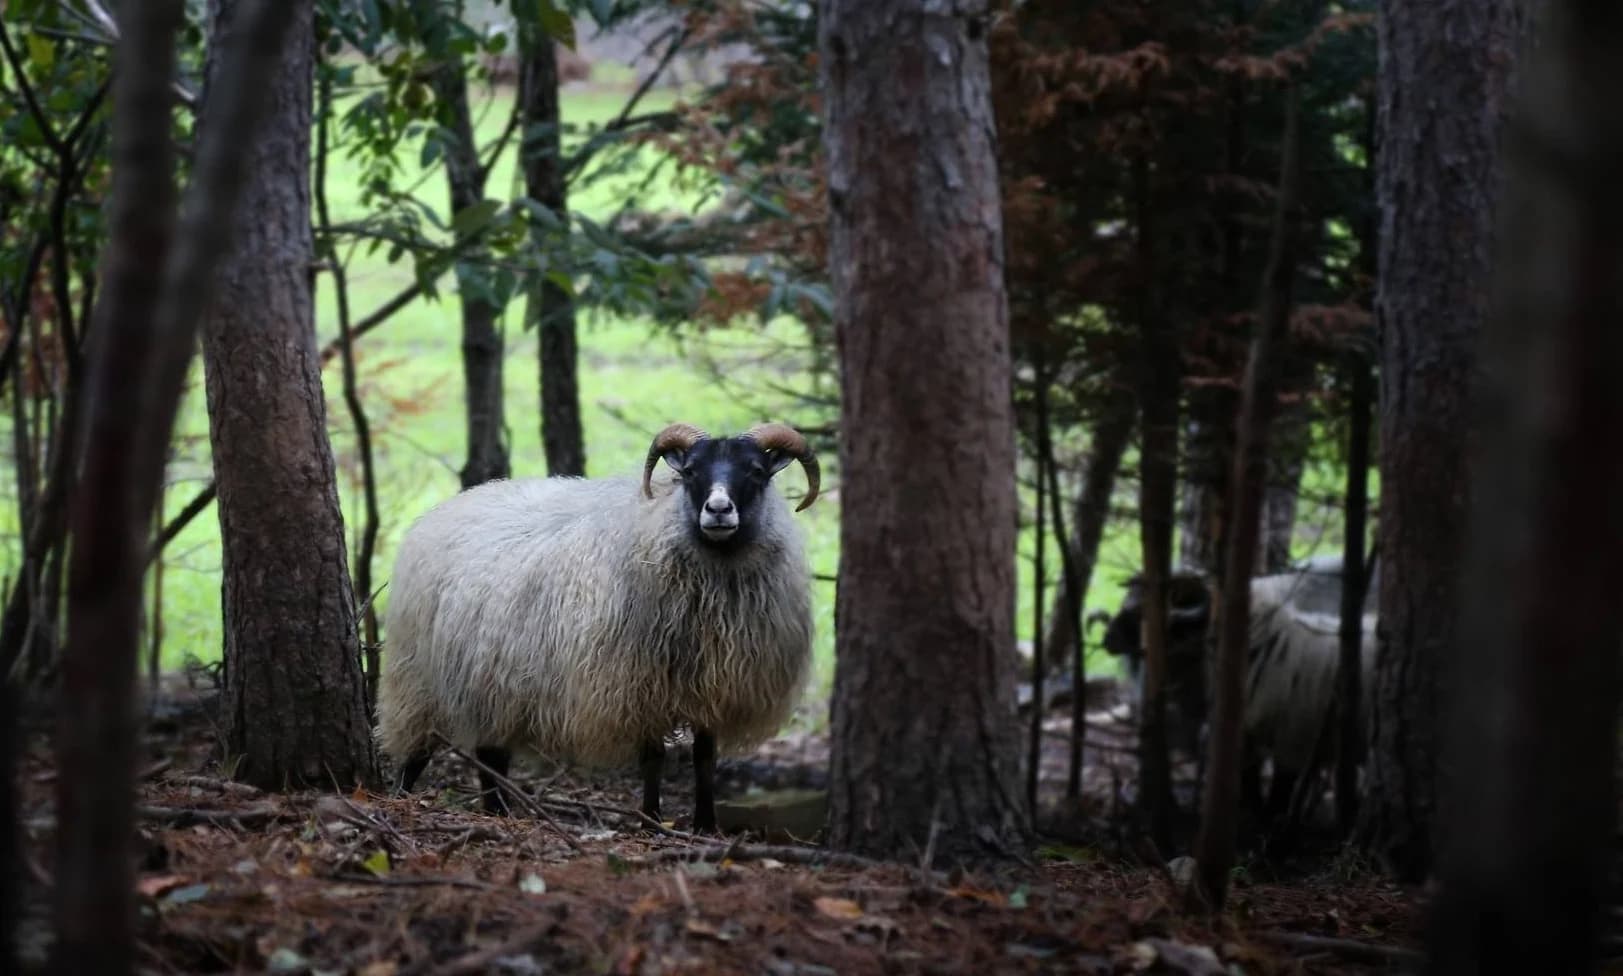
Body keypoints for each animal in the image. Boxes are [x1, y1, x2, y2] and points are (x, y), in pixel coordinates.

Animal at [375, 421, 821, 832]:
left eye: (756, 471)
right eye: (691, 471)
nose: (718, 511)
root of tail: (443, 510)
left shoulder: (714, 685)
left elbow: (705, 758)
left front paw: (704, 826)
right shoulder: (638, 685)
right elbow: (653, 757)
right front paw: (651, 822)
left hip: (491, 681)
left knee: (490, 756)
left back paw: (497, 812)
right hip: (420, 677)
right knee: (421, 749)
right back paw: (402, 797)